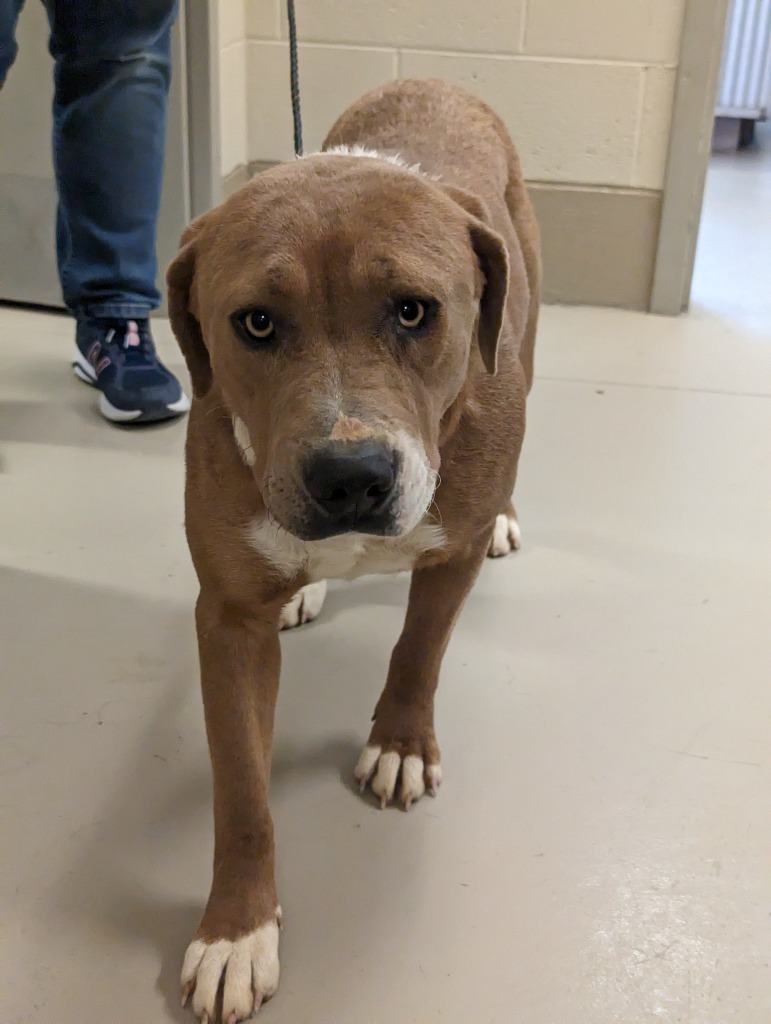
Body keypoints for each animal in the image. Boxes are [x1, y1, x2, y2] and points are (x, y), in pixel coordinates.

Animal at [166, 75, 540, 1019]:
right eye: (256, 323)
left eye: (413, 311)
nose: (349, 477)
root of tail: (430, 79)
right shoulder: (227, 620)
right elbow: (242, 792)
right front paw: (237, 931)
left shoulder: (448, 557)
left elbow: (418, 649)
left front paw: (401, 743)